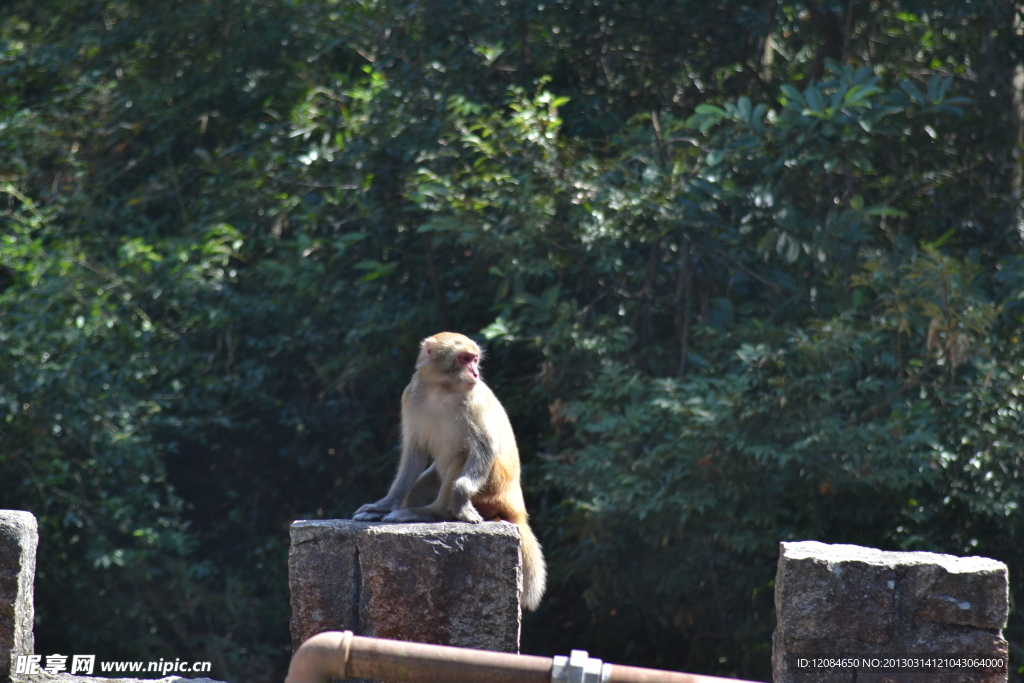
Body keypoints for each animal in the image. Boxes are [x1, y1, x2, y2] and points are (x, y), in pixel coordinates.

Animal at [352, 331, 548, 610]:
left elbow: (484, 448)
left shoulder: (474, 400)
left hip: (493, 488)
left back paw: (431, 512)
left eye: (475, 359)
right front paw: (384, 505)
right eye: (465, 358)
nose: (475, 373)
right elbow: (414, 454)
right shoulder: (410, 396)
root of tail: (516, 509)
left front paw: (460, 500)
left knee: (463, 455)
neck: (441, 388)